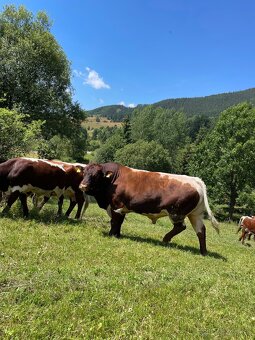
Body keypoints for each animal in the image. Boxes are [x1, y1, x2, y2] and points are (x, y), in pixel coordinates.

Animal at [78, 162, 218, 255]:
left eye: (96, 175)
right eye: (84, 173)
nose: (83, 186)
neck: (113, 180)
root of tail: (195, 180)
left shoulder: (116, 206)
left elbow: (115, 221)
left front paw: (112, 234)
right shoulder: (122, 208)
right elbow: (120, 222)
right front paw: (117, 234)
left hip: (176, 212)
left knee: (181, 227)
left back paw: (165, 239)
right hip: (195, 214)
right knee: (201, 230)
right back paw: (203, 251)